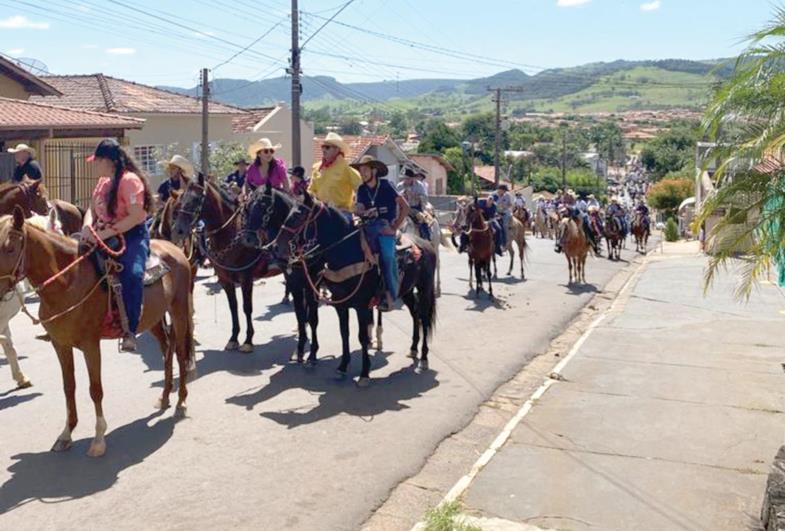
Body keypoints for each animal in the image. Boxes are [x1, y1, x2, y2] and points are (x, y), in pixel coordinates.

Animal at [172, 172, 278, 352]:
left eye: (196, 199)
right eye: (182, 199)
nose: (178, 230)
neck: (231, 233)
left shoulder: (246, 278)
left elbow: (247, 307)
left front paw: (248, 341)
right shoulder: (225, 279)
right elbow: (233, 306)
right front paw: (234, 338)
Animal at [272, 193, 438, 384]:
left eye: (298, 215)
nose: (274, 247)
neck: (347, 254)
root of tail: (426, 244)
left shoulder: (362, 306)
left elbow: (362, 337)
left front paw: (364, 373)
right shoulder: (341, 304)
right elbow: (344, 333)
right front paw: (342, 367)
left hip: (425, 288)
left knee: (424, 318)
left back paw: (423, 359)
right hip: (407, 291)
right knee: (415, 314)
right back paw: (413, 349)